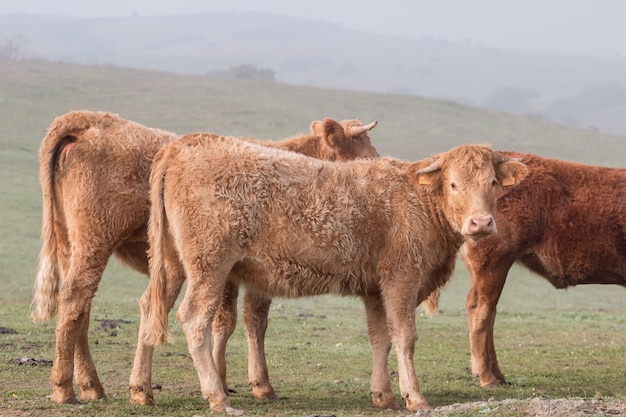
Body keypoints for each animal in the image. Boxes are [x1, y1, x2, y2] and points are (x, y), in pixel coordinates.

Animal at [30, 109, 376, 404]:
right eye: (366, 156)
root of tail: (85, 121)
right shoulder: (256, 270)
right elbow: (247, 321)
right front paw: (251, 384)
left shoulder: (237, 273)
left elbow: (229, 321)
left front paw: (223, 379)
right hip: (96, 241)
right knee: (75, 300)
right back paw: (65, 388)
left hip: (75, 246)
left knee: (82, 310)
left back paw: (95, 385)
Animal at [141, 134, 528, 412]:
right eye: (453, 184)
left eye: (493, 182)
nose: (481, 223)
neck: (418, 200)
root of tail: (184, 144)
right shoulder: (401, 277)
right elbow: (405, 336)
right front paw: (414, 397)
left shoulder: (375, 289)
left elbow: (380, 338)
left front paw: (383, 394)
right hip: (209, 264)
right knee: (193, 318)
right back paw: (218, 397)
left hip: (173, 264)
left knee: (150, 307)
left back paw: (141, 390)